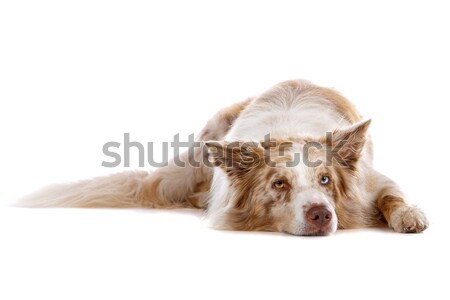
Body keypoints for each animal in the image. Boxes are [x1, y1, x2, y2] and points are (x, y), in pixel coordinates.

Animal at [15, 79, 428, 237]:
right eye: (279, 184)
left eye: (325, 180)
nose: (321, 215)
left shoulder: (370, 181)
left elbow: (393, 195)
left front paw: (409, 215)